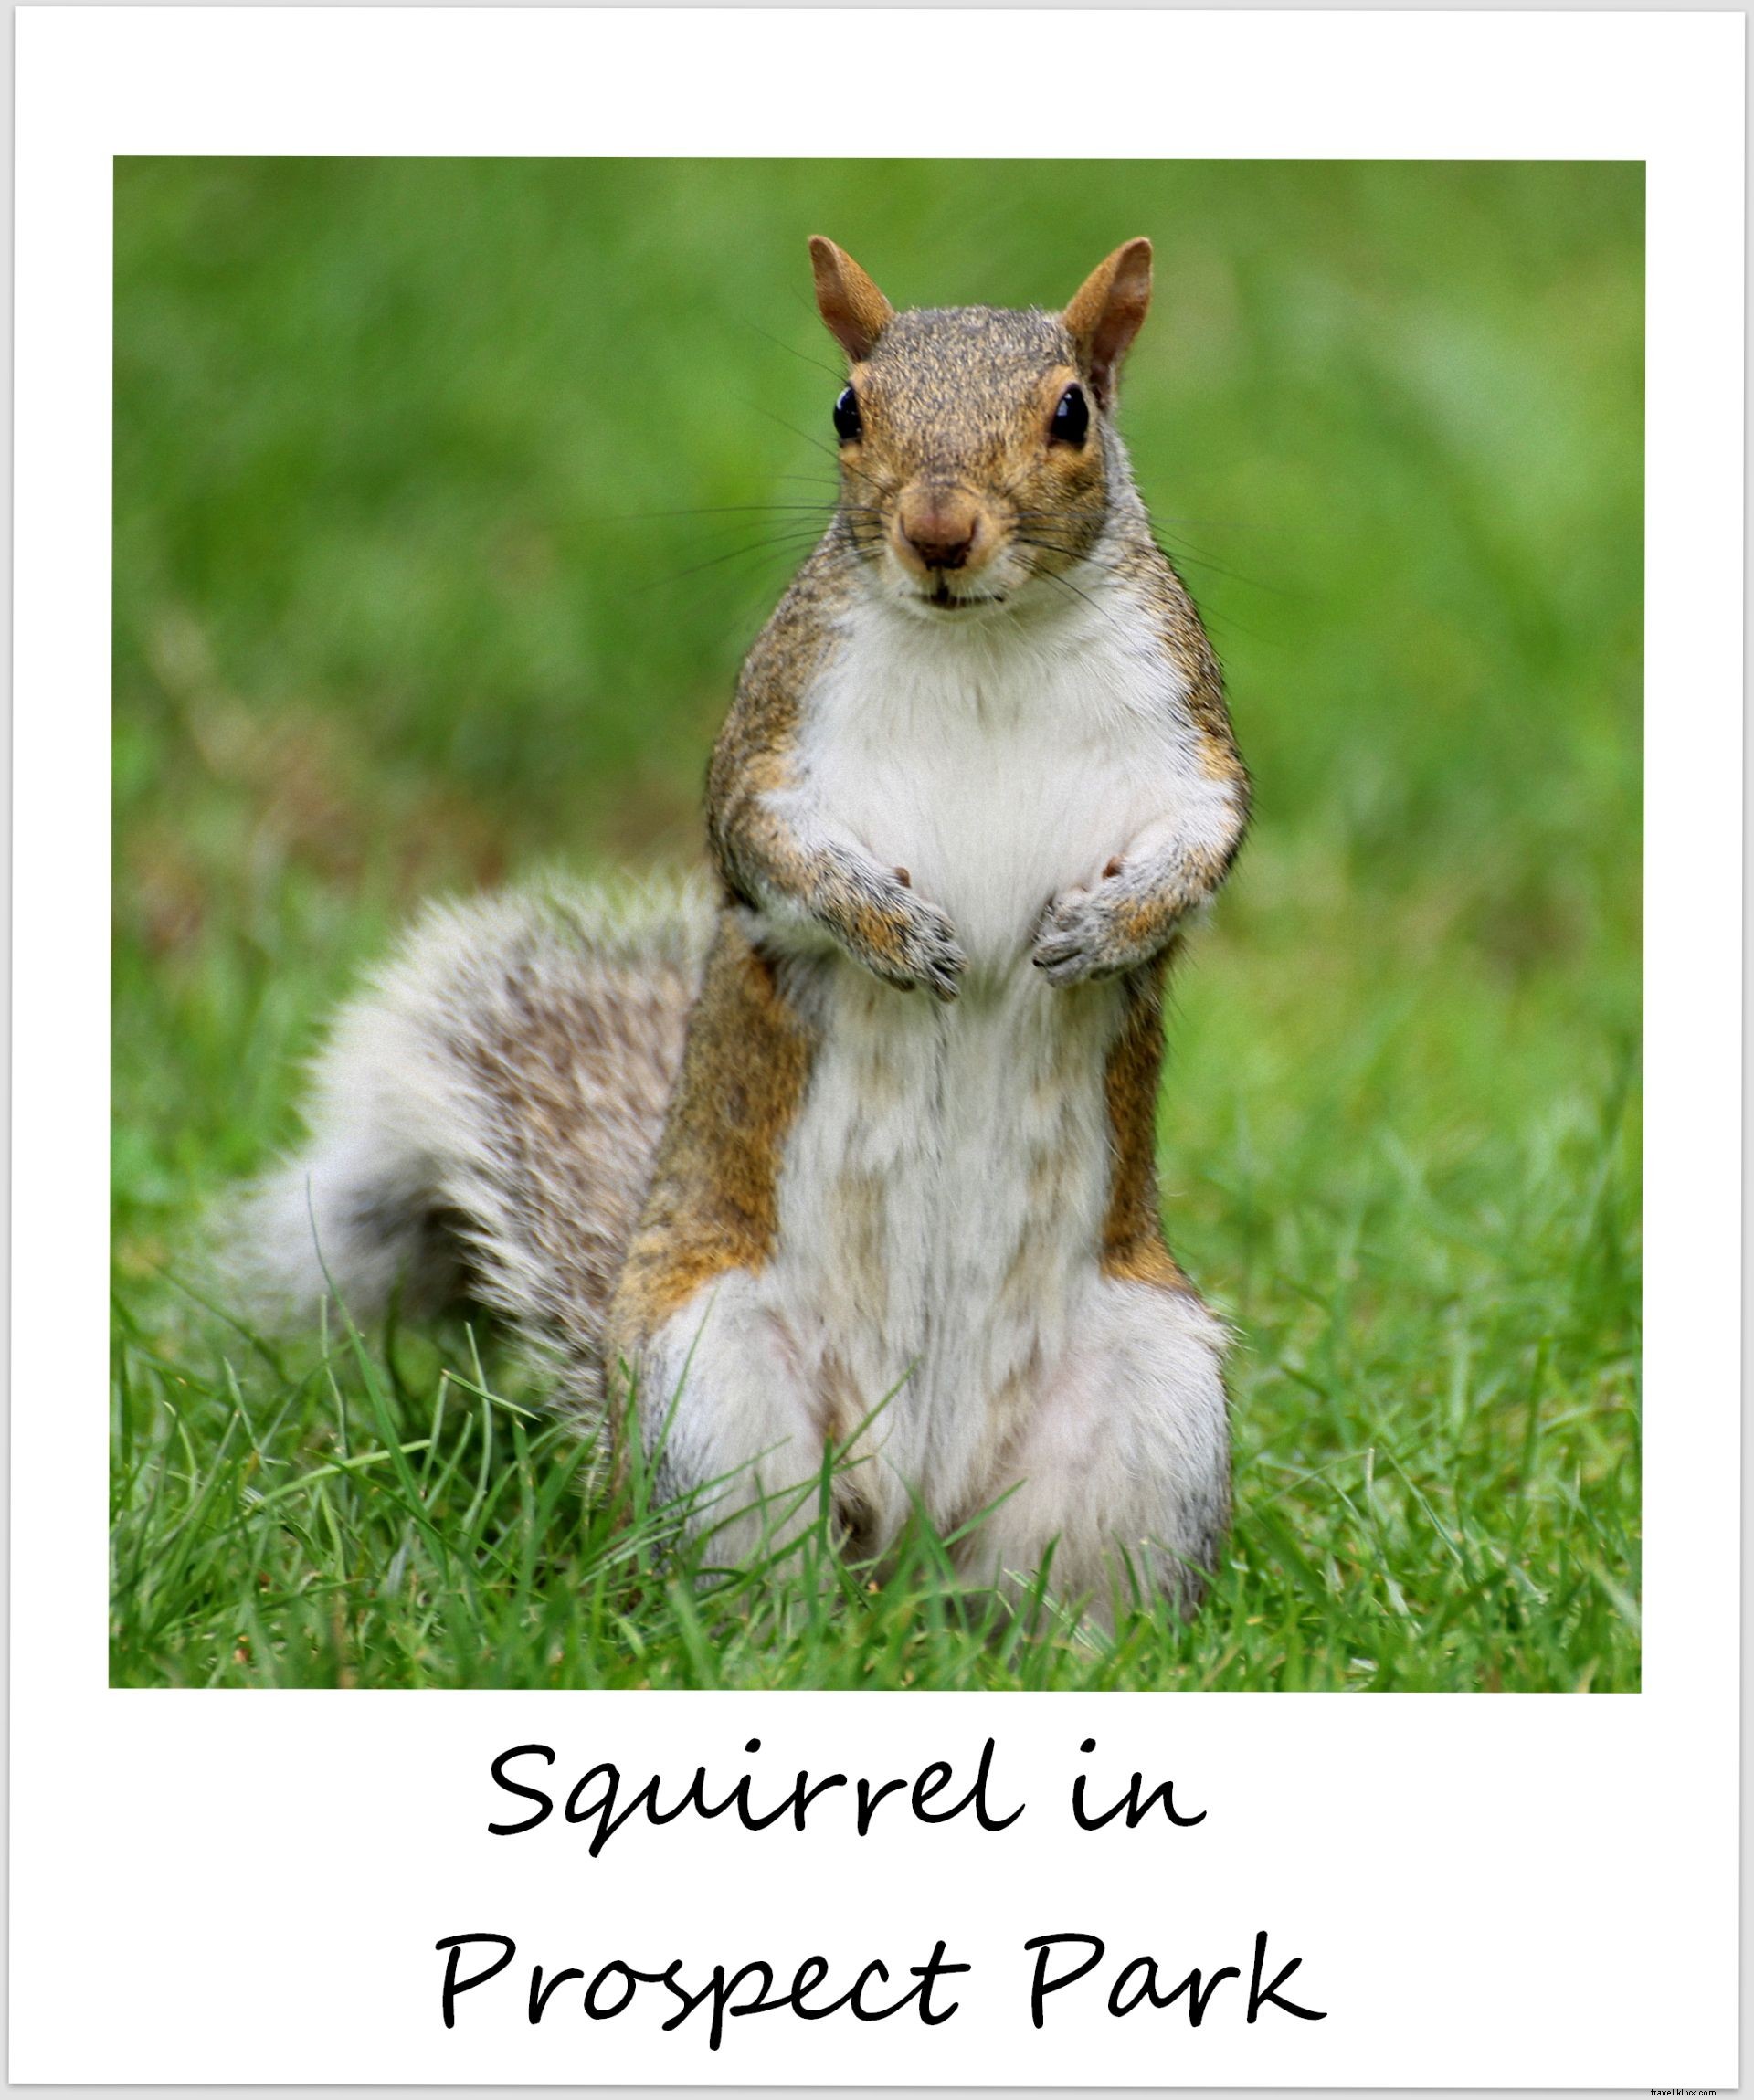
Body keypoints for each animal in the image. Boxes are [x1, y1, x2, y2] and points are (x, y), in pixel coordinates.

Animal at [241, 236, 1250, 1619]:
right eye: (847, 409)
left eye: (1071, 415)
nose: (939, 533)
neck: (983, 643)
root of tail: (915, 1518)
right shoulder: (769, 744)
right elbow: (768, 850)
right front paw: (892, 932)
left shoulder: (1185, 734)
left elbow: (1205, 843)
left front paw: (1103, 927)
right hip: (711, 1389)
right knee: (753, 1574)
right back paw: (763, 1626)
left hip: (1157, 1399)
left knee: (1067, 1594)